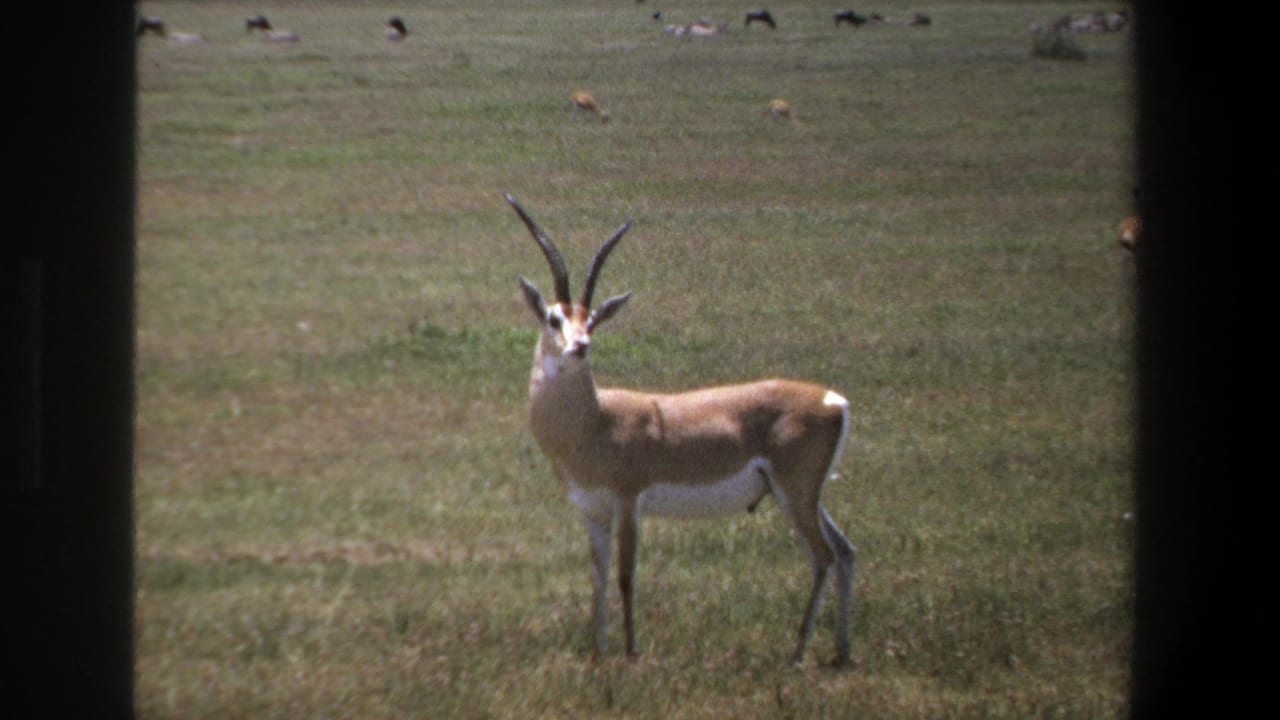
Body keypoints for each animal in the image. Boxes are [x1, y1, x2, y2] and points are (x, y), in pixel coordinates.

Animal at [506, 194, 857, 666]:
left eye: (592, 320)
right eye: (554, 318)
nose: (581, 346)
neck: (596, 422)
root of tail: (833, 400)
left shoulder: (629, 501)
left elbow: (625, 576)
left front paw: (631, 652)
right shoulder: (593, 510)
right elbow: (597, 578)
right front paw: (599, 653)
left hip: (795, 492)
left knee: (822, 557)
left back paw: (798, 651)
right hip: (805, 495)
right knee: (845, 552)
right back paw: (840, 652)